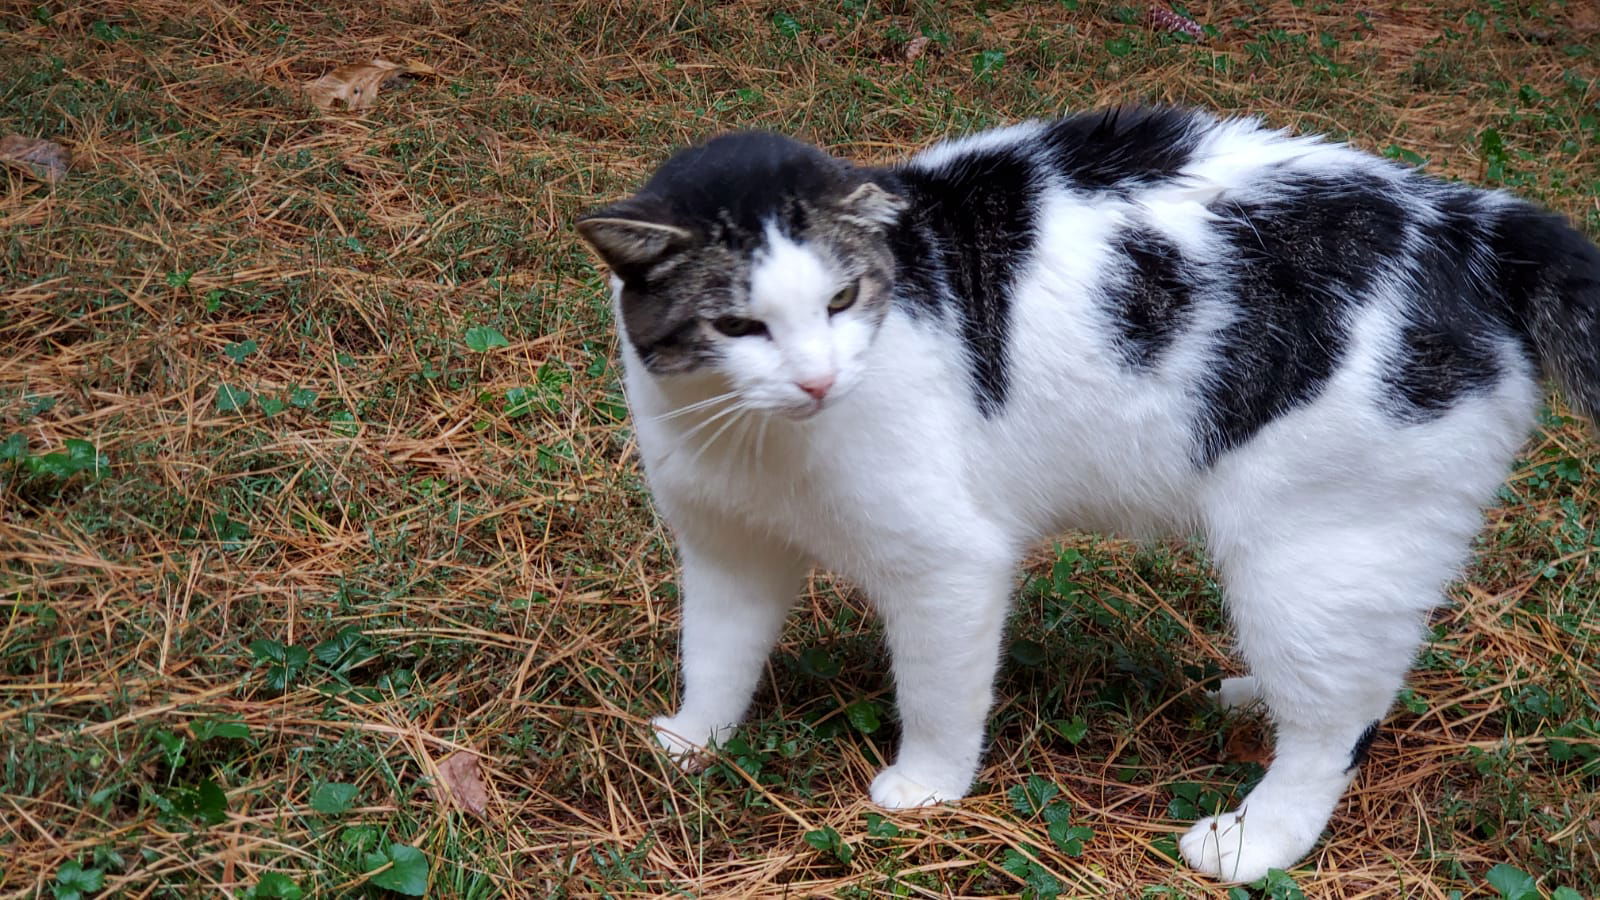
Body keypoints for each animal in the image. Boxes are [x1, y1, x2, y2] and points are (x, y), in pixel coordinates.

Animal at [576, 106, 1600, 883]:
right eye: (738, 327)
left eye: (841, 302)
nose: (819, 381)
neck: (765, 442)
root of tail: (1473, 224)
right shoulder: (725, 551)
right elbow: (717, 655)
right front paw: (696, 740)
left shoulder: (949, 567)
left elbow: (939, 694)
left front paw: (928, 787)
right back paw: (1255, 697)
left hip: (1318, 555)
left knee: (1338, 724)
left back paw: (1254, 841)